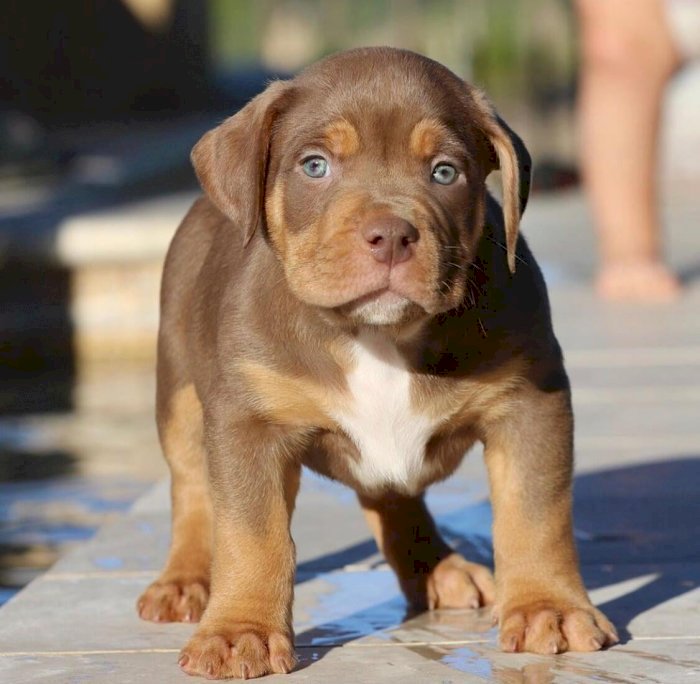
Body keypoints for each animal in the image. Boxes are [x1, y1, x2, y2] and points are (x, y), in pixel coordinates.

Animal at [138, 48, 616, 680]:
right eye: (314, 166)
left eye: (445, 172)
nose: (390, 234)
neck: (376, 334)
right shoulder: (248, 422)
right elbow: (250, 532)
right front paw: (241, 631)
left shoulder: (531, 401)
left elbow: (536, 513)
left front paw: (548, 609)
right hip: (178, 391)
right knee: (192, 487)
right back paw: (186, 580)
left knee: (392, 495)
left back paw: (441, 570)